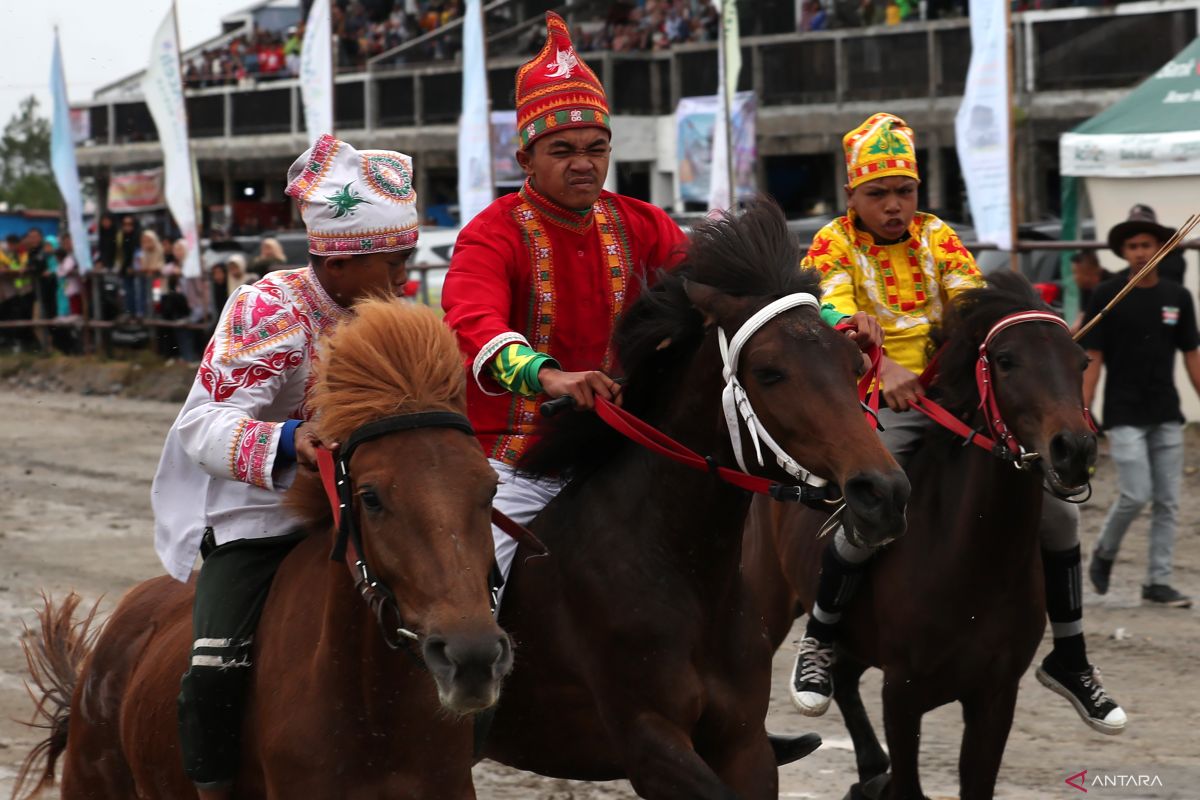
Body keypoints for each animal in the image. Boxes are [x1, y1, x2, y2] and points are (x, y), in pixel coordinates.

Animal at [477, 205, 907, 800]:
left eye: (853, 362)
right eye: (769, 372)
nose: (883, 492)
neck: (679, 568)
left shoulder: (744, 743)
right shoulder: (650, 745)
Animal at [744, 275, 1099, 800]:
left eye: (1080, 362)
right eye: (1006, 360)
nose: (1074, 449)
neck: (972, 564)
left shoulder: (995, 695)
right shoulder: (903, 692)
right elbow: (908, 783)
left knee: (845, 678)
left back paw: (870, 768)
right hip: (769, 599)